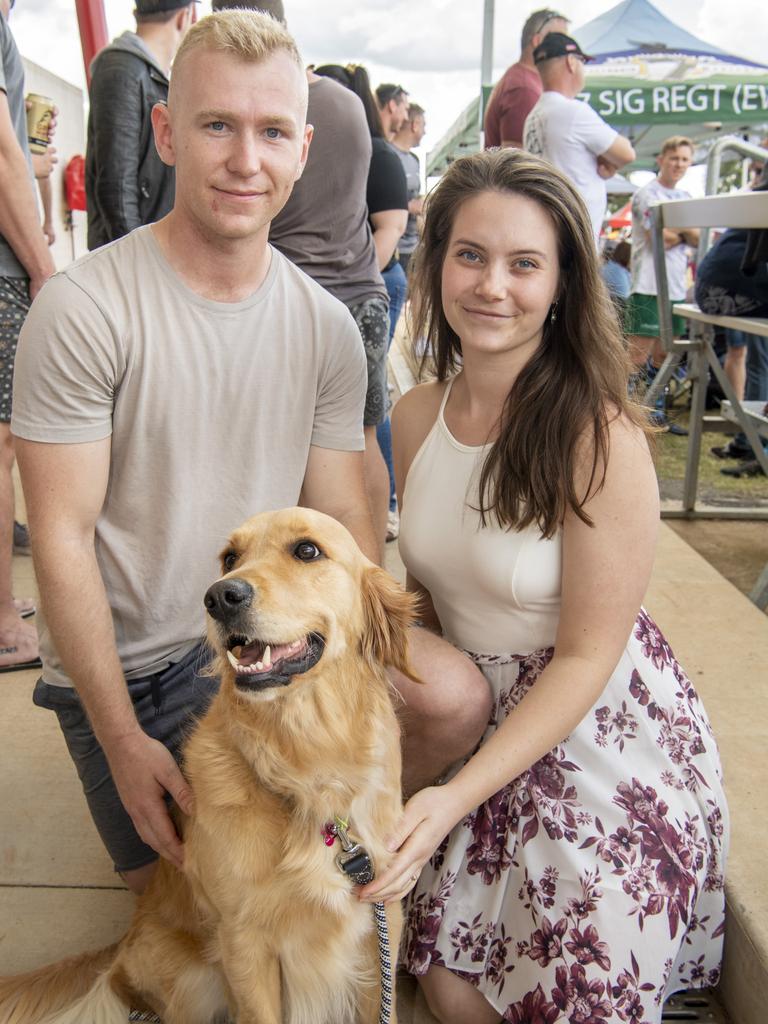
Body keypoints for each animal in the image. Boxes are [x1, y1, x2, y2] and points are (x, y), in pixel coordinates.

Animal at [0, 507, 417, 1024]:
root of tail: (124, 945)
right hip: (193, 980)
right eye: (230, 558)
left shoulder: (382, 916)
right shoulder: (243, 942)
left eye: (307, 550)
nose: (220, 596)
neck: (304, 766)